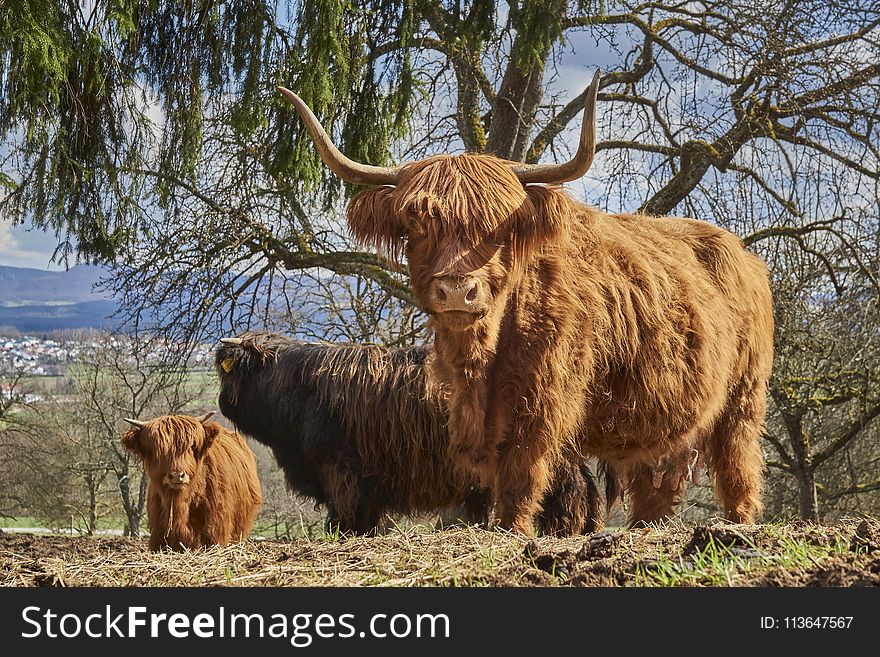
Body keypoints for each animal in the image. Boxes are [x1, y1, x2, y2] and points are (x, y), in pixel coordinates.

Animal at [217, 330, 608, 536]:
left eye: (227, 374)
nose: (221, 404)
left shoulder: (339, 467)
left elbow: (344, 509)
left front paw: (344, 532)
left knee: (568, 486)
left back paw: (562, 528)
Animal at [278, 70, 772, 532]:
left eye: (499, 226)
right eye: (416, 222)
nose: (457, 290)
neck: (485, 353)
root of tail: (743, 253)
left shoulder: (544, 397)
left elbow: (522, 470)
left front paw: (512, 530)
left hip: (743, 399)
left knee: (739, 467)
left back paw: (738, 527)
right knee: (656, 485)